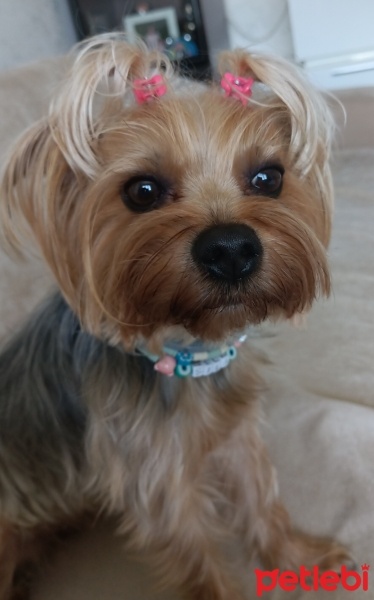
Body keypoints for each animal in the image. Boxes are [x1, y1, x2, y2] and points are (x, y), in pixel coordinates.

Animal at [0, 35, 348, 596]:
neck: (188, 353)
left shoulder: (235, 434)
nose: (231, 249)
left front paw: (299, 557)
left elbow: (261, 501)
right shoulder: (156, 479)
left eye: (268, 178)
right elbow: (197, 560)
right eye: (142, 191)